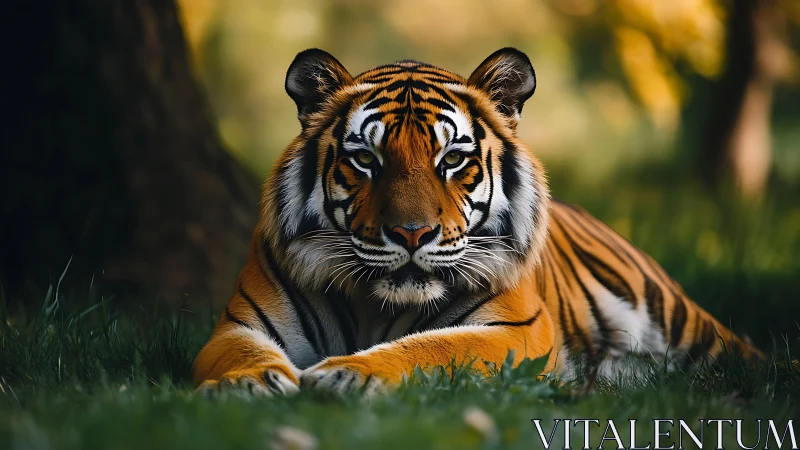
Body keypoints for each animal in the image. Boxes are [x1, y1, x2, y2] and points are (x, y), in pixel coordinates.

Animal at [192, 48, 762, 396]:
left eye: (451, 159)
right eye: (366, 160)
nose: (412, 234)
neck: (375, 305)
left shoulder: (514, 331)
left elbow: (432, 348)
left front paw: (347, 374)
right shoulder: (239, 325)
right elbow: (236, 356)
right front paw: (246, 385)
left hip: (688, 325)